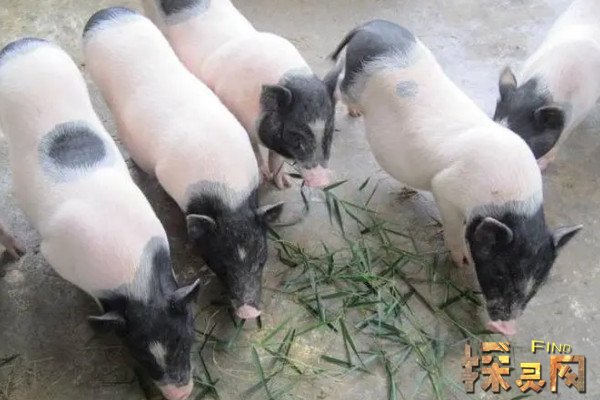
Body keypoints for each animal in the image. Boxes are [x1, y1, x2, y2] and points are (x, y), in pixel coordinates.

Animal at [0, 37, 200, 400]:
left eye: (184, 338)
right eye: (140, 354)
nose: (180, 394)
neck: (134, 281)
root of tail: (21, 44)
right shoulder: (56, 256)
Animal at [142, 0, 336, 189]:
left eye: (329, 133)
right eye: (296, 137)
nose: (323, 182)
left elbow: (276, 155)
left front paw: (284, 184)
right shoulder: (236, 112)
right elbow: (253, 148)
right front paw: (263, 179)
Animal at [325, 20, 582, 336]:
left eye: (537, 284)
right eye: (500, 273)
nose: (507, 328)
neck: (506, 199)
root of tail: (371, 26)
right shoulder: (445, 186)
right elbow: (452, 226)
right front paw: (461, 261)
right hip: (353, 80)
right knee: (338, 86)